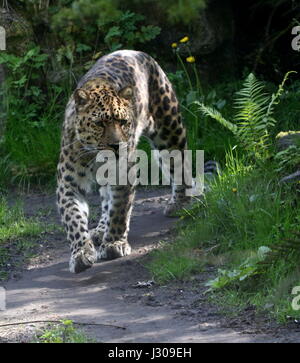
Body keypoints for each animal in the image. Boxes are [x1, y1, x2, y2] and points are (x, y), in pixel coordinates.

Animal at [56, 49, 192, 274]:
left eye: (123, 122)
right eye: (100, 123)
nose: (116, 145)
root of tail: (136, 52)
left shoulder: (123, 174)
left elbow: (119, 209)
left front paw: (113, 244)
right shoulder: (68, 183)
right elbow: (73, 218)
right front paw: (81, 253)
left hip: (170, 130)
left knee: (179, 165)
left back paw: (179, 203)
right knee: (105, 199)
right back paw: (100, 229)